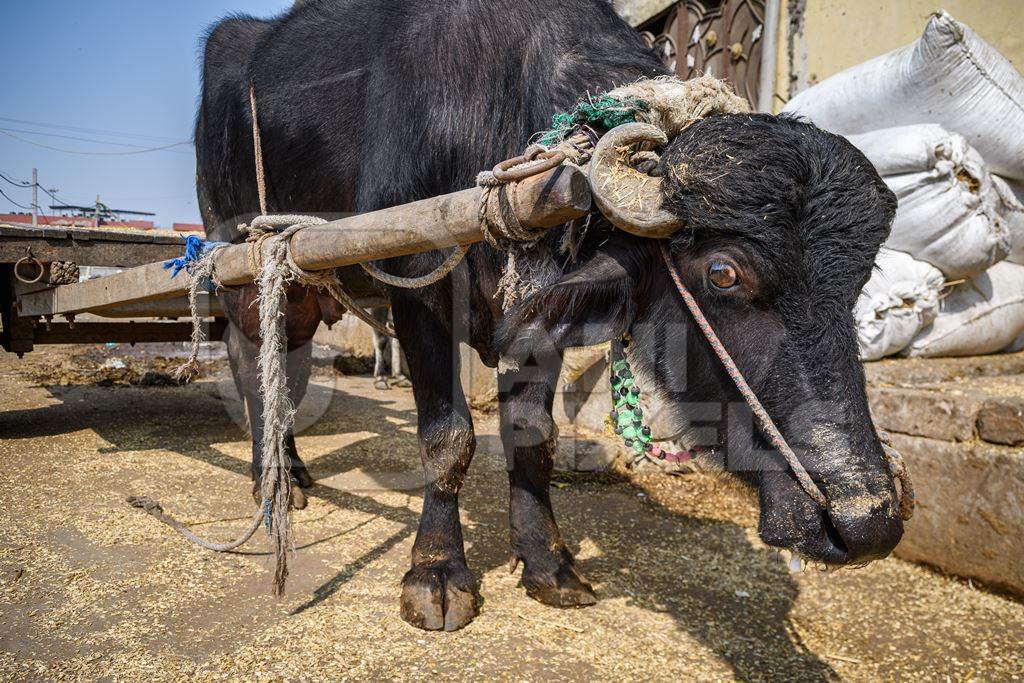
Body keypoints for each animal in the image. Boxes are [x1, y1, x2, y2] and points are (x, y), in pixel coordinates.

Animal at [195, 0, 901, 634]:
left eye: (859, 281)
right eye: (722, 272)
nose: (868, 520)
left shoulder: (537, 317)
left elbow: (532, 437)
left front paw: (547, 564)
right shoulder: (418, 287)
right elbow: (447, 438)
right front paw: (436, 573)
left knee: (286, 365)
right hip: (244, 266)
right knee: (253, 365)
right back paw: (274, 480)